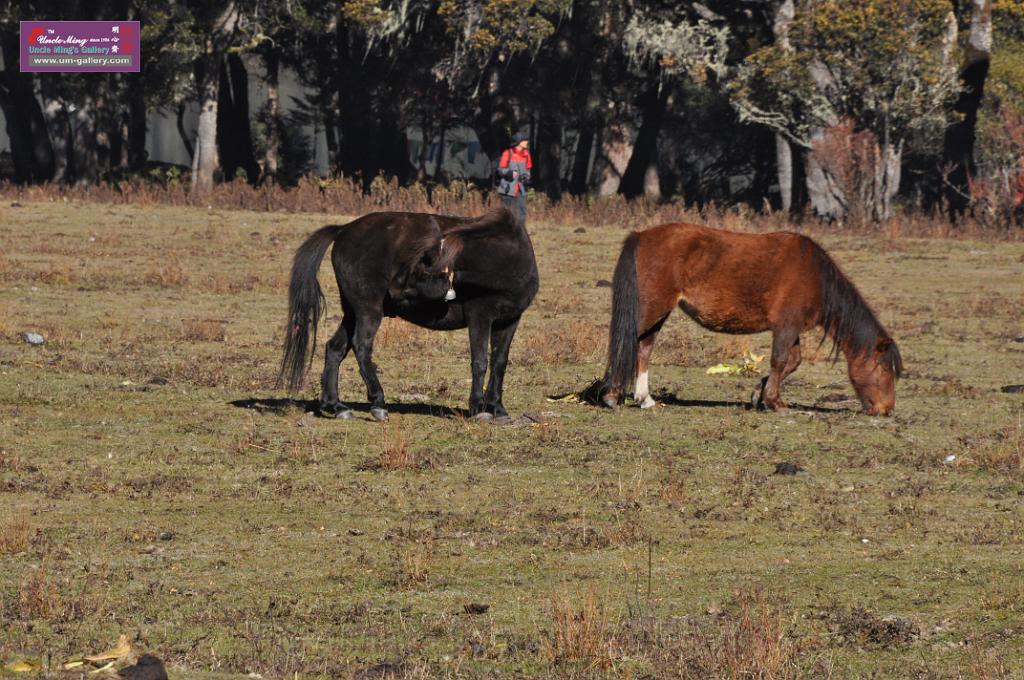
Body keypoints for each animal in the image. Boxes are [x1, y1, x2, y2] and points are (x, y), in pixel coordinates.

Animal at [276, 206, 540, 419]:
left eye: (421, 269)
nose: (392, 291)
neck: (509, 264)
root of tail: (344, 230)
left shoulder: (509, 321)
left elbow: (499, 362)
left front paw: (497, 408)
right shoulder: (480, 317)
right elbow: (480, 361)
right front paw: (477, 408)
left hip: (351, 312)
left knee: (335, 348)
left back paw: (336, 406)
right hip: (368, 310)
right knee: (361, 346)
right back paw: (378, 403)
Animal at [598, 224, 905, 413]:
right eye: (883, 369)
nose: (886, 410)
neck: (815, 276)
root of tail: (641, 235)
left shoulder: (791, 329)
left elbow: (792, 362)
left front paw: (760, 393)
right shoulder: (785, 326)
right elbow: (780, 361)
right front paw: (774, 402)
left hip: (658, 312)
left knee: (644, 348)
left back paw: (645, 399)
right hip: (651, 309)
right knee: (626, 342)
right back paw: (611, 395)